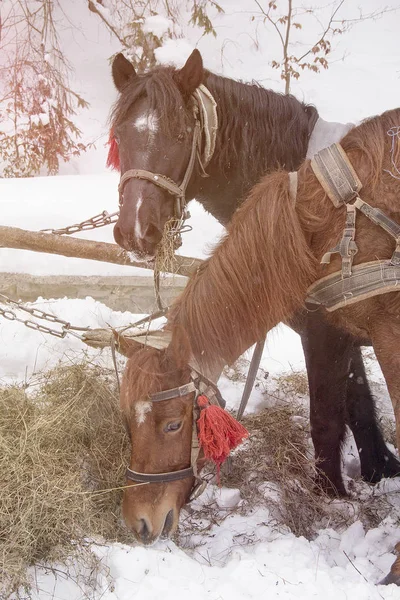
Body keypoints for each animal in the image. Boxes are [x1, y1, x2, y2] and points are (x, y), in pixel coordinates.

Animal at [108, 50, 400, 492]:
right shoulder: (344, 329)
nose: (135, 231)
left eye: (181, 135)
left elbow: (327, 417)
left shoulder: (325, 331)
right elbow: (359, 402)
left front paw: (330, 490)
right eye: (121, 136)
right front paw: (379, 470)